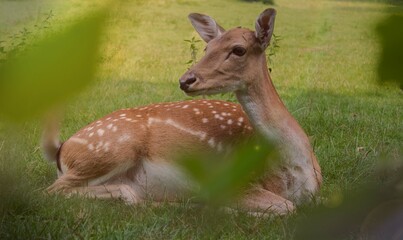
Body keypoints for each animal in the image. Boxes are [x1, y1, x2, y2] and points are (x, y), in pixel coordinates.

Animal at [41, 7, 322, 216]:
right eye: (207, 48)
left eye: (238, 50)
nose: (186, 80)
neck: (295, 170)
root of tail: (61, 149)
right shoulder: (233, 182)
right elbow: (286, 207)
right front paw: (217, 207)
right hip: (112, 148)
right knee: (51, 192)